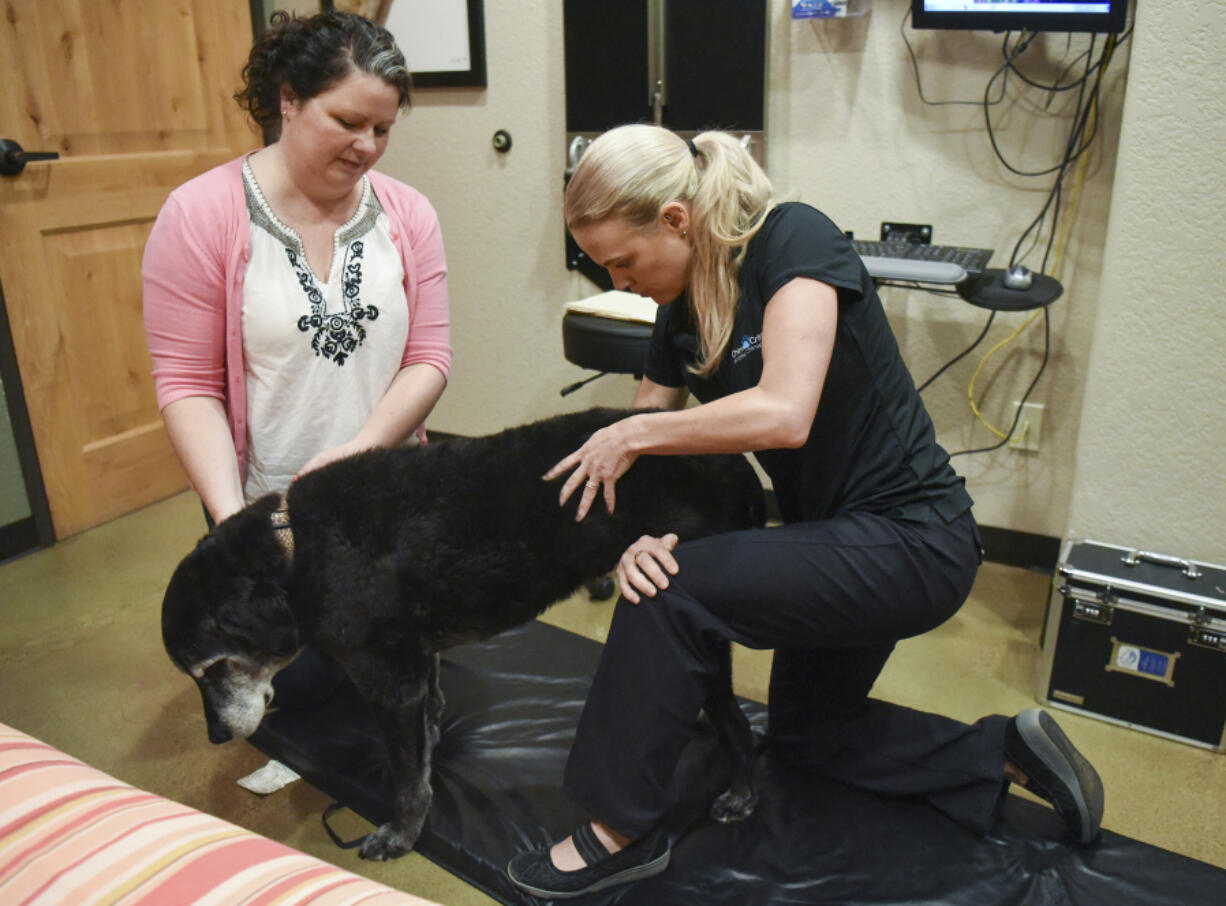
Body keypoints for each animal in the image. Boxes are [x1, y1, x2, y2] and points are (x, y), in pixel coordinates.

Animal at [163, 407, 765, 863]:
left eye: (213, 668)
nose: (215, 735)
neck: (296, 553)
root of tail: (742, 468)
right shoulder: (415, 666)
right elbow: (426, 733)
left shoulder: (388, 683)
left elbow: (406, 779)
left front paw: (401, 834)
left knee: (738, 725)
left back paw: (741, 792)